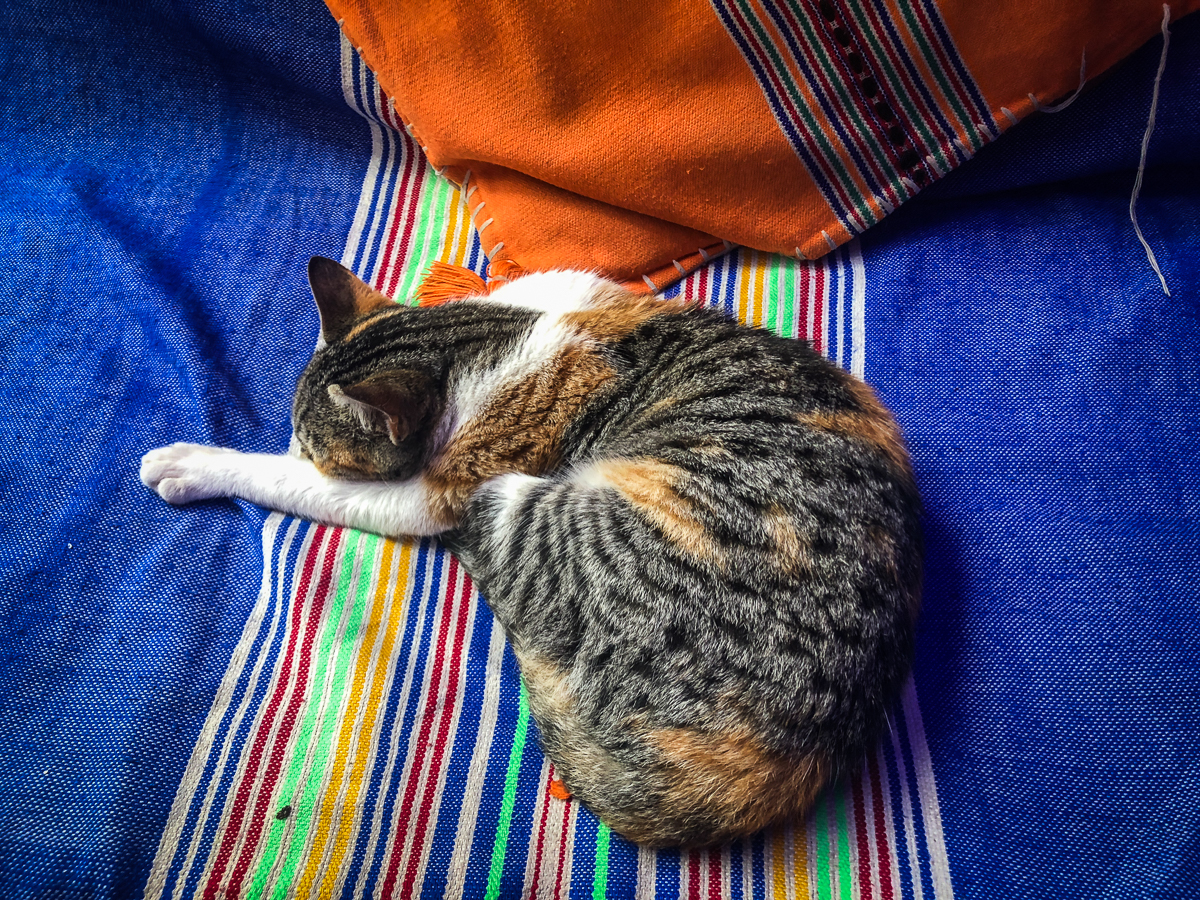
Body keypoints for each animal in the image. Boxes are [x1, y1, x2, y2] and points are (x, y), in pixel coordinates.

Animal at [142, 256, 926, 849]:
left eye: (312, 448)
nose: (297, 444)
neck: (491, 337)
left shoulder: (435, 490)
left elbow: (301, 485)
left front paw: (195, 463)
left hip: (530, 506)